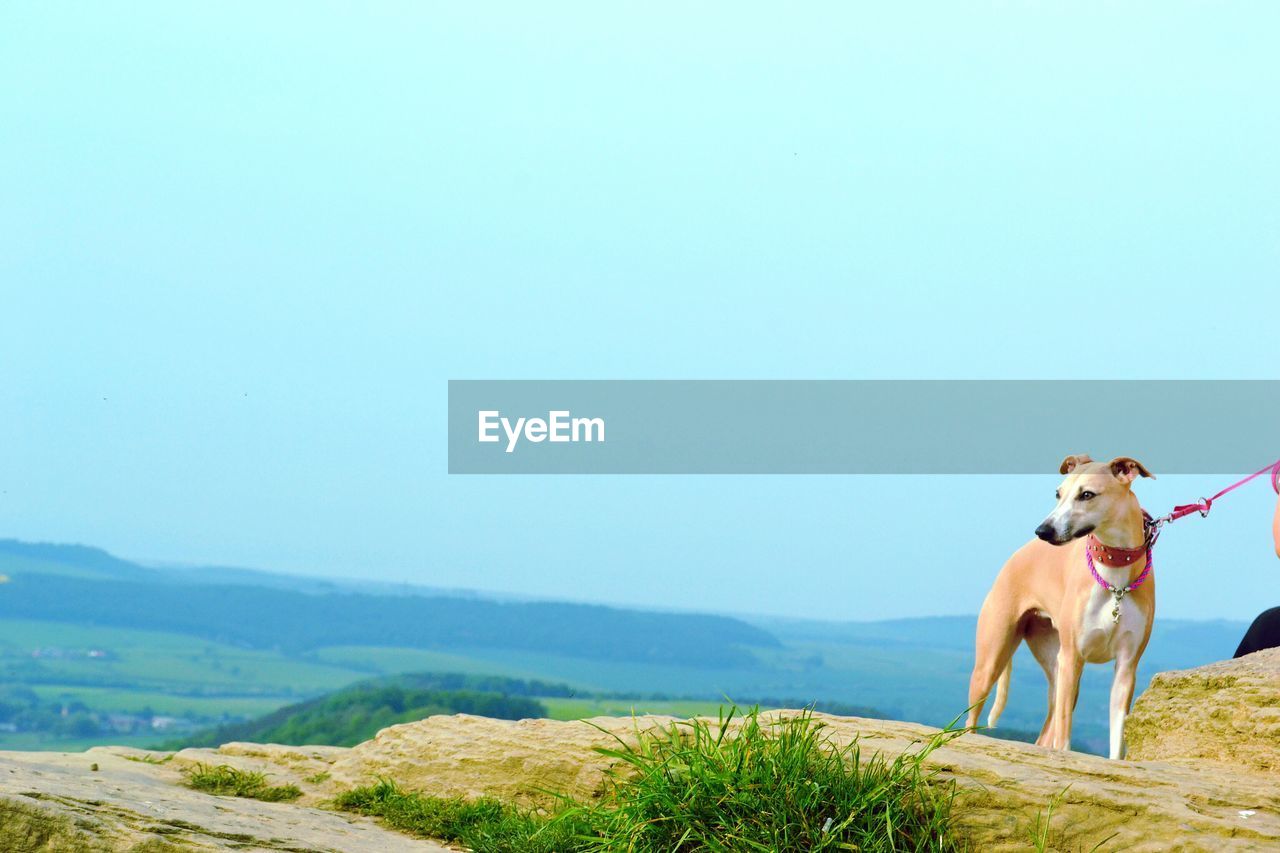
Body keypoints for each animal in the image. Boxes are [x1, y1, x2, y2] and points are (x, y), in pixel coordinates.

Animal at [962, 450, 1157, 758]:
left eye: (1087, 494)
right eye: (1058, 493)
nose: (1043, 530)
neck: (1113, 578)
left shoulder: (1127, 667)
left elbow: (1116, 738)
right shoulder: (1072, 656)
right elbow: (1064, 736)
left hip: (1056, 666)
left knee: (1045, 734)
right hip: (994, 660)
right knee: (971, 719)